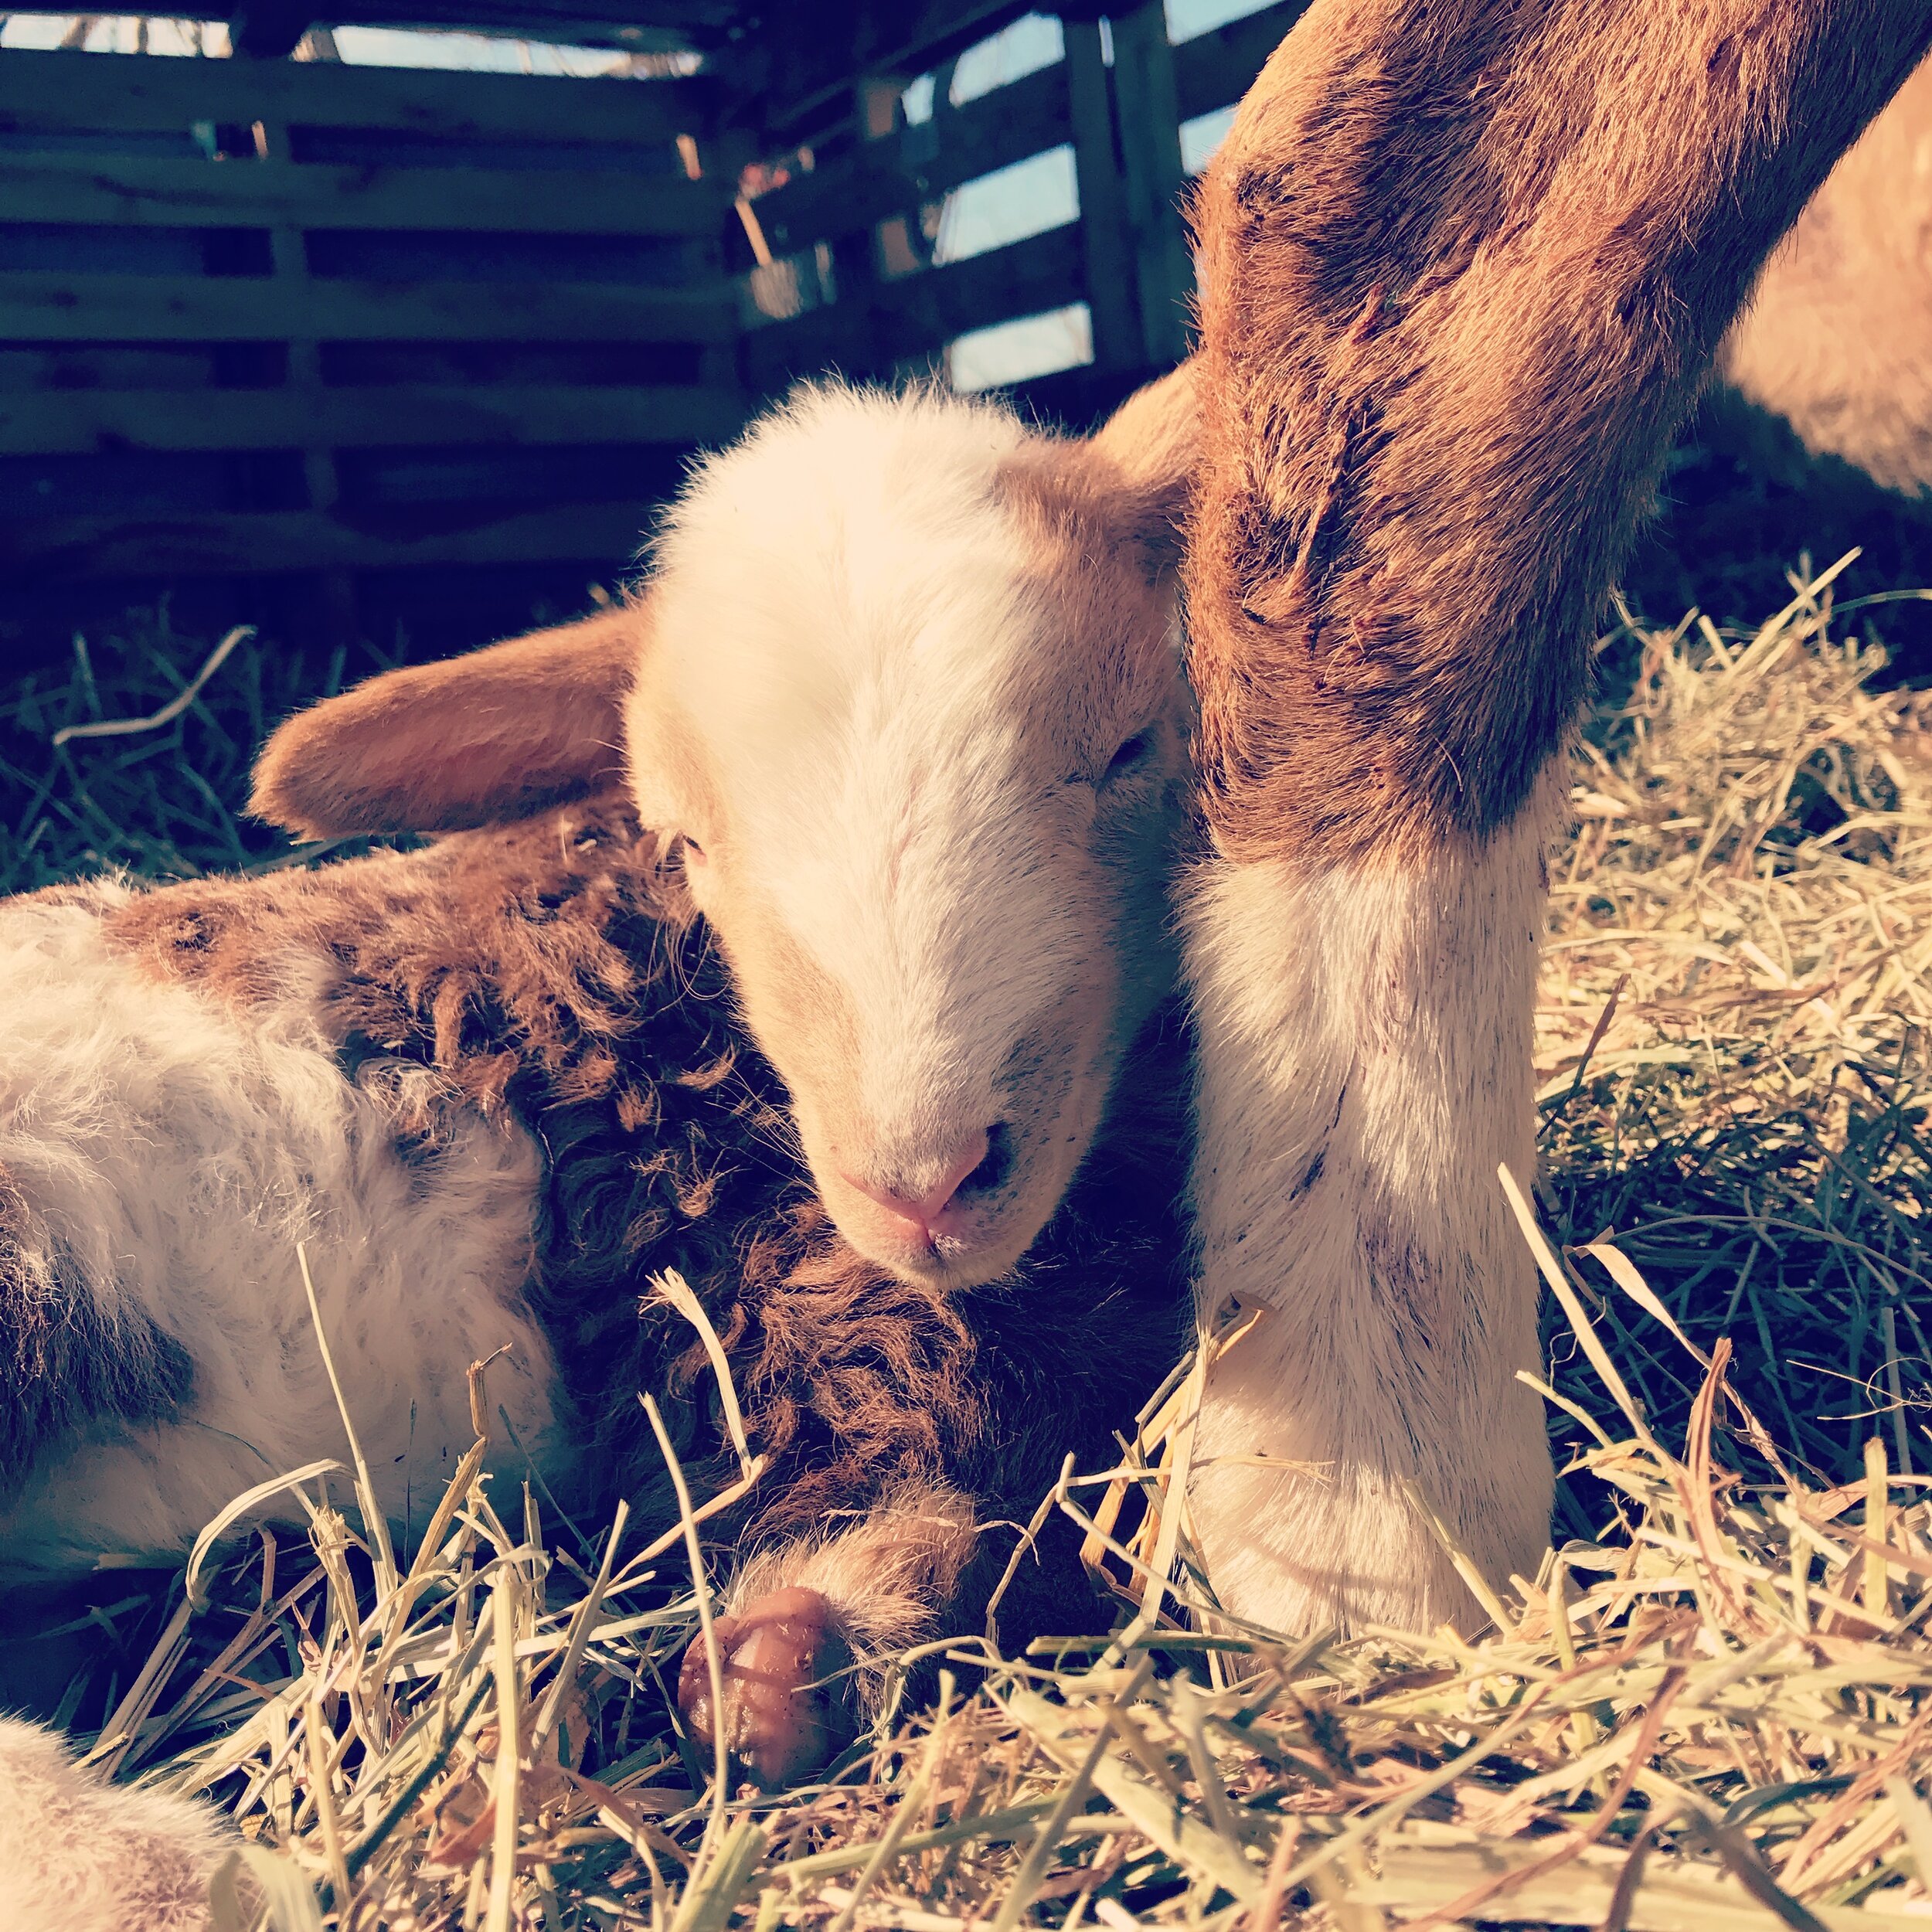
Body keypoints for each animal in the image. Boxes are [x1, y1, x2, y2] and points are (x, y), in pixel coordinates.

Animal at [0, 370, 1197, 1924]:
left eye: (1130, 748)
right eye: (684, 838)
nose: (922, 1178)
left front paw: (776, 1664)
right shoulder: (791, 1267)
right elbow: (924, 1421)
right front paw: (789, 1658)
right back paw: (166, 1874)